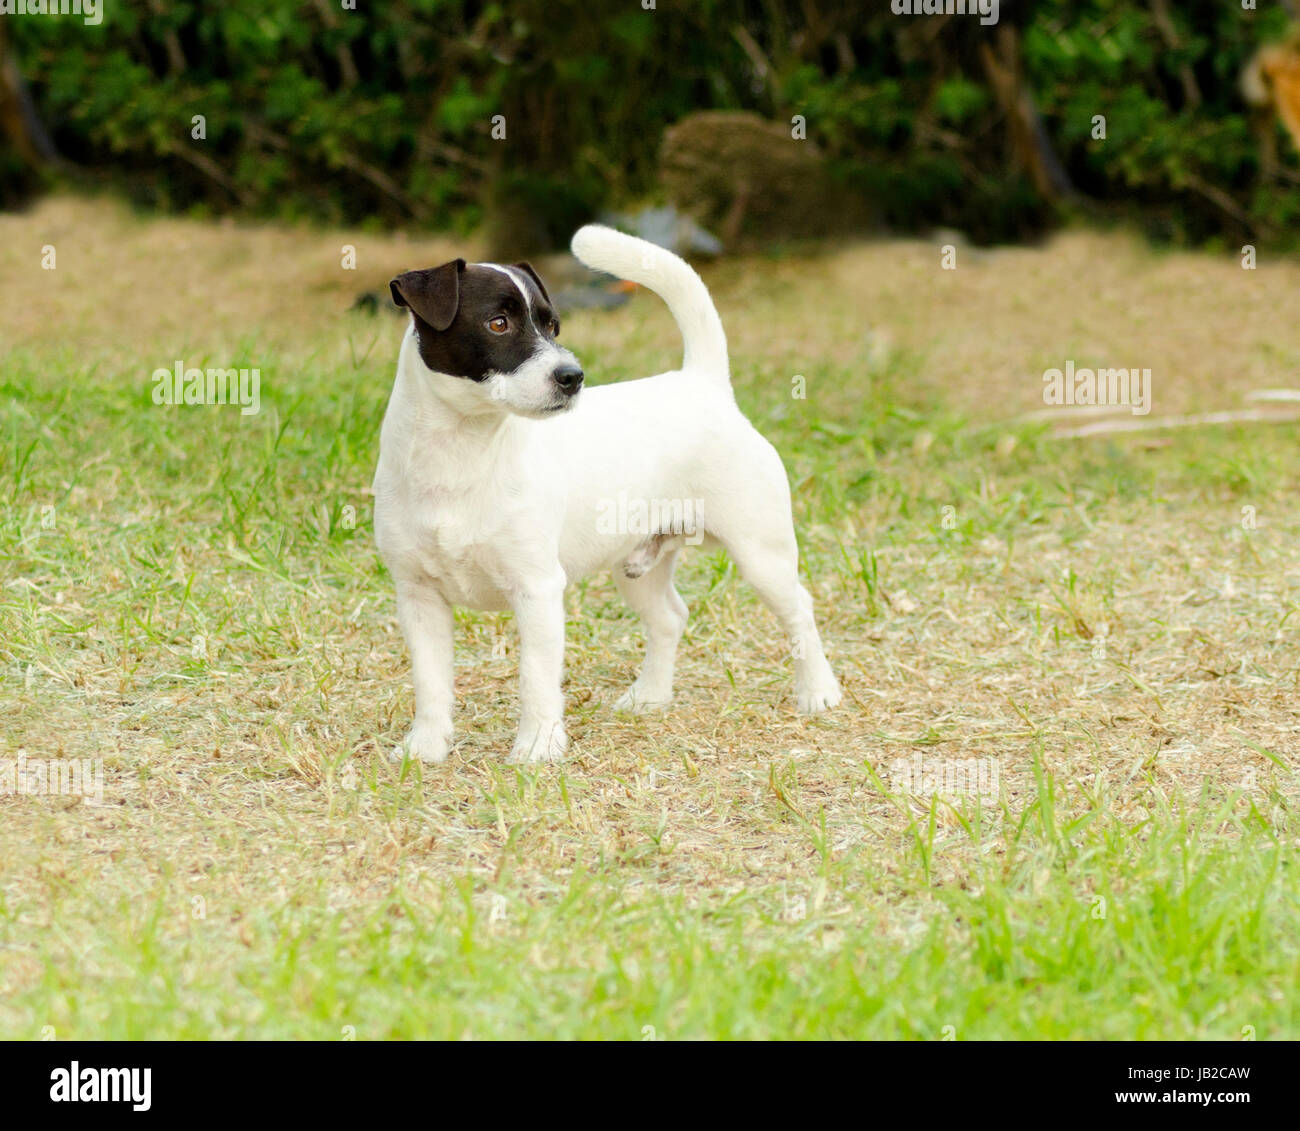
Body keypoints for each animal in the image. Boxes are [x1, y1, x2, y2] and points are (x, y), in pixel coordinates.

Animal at [374, 226, 842, 764]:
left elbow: (536, 679)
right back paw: (651, 696)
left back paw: (818, 691)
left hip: (762, 554)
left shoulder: (536, 590)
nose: (572, 377)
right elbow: (430, 682)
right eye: (498, 323)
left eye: (553, 326)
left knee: (800, 610)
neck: (462, 454)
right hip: (637, 566)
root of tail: (703, 385)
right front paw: (425, 747)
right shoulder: (418, 597)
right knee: (670, 618)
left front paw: (537, 747)